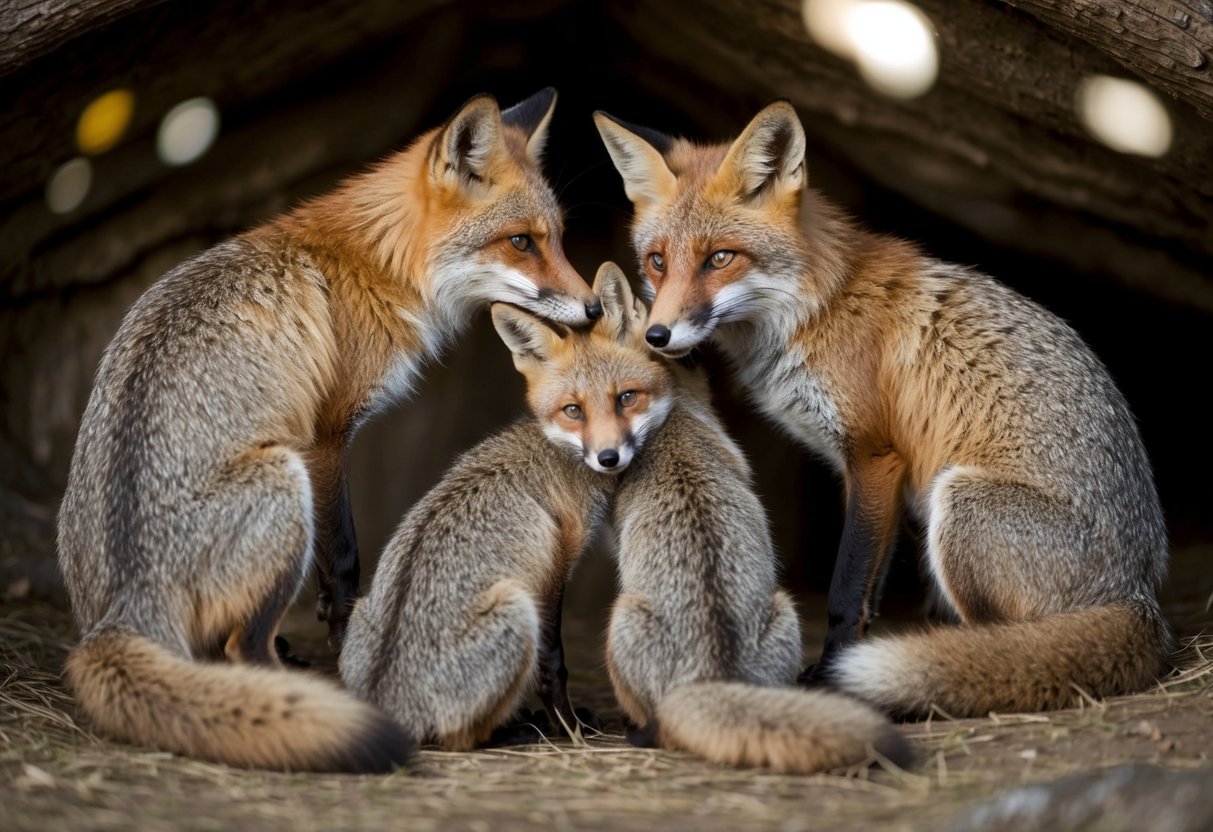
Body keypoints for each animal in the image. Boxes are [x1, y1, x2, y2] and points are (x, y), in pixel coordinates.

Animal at [56, 88, 600, 772]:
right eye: (521, 241)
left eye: (557, 238)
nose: (595, 309)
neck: (379, 262)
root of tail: (127, 600)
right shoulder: (326, 437)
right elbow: (343, 562)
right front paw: (346, 656)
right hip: (284, 482)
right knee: (242, 649)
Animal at [339, 262, 665, 749]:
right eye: (573, 410)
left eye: (626, 397)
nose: (609, 457)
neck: (557, 450)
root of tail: (388, 696)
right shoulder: (554, 570)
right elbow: (554, 664)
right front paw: (568, 727)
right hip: (516, 608)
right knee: (461, 737)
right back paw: (515, 730)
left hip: (362, 607)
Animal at [594, 101, 1171, 718]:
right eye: (657, 262)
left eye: (719, 258)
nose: (656, 336)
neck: (813, 309)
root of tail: (1139, 591)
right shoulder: (873, 476)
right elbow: (869, 589)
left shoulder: (874, 455)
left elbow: (846, 590)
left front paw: (830, 675)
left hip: (959, 503)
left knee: (1007, 645)